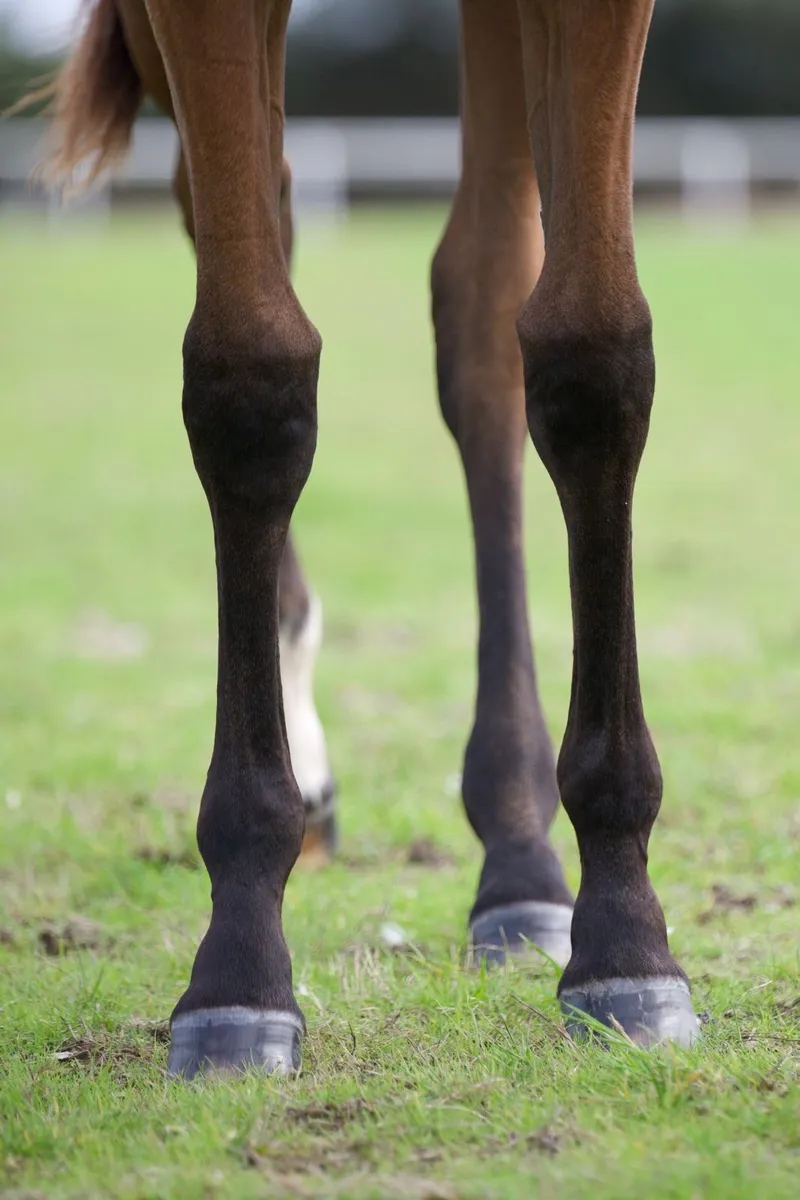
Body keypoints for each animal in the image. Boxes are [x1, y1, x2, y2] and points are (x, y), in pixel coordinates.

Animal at [30, 0, 698, 1078]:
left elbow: (592, 357)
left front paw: (626, 941)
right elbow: (249, 378)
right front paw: (240, 965)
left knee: (482, 307)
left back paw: (521, 858)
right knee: (248, 212)